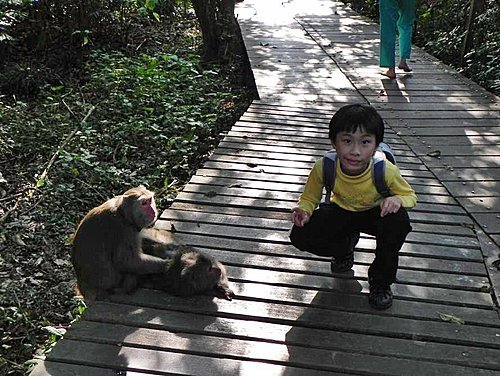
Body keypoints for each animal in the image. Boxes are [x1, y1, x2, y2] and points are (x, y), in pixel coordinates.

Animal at [70, 185, 234, 302]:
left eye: (150, 201)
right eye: (144, 203)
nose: (152, 210)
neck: (123, 214)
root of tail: (84, 290)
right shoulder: (124, 230)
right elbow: (125, 261)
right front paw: (172, 265)